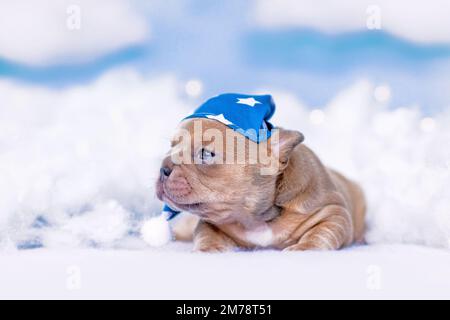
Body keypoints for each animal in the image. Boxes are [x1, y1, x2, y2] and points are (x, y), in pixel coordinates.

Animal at [156, 118, 366, 252]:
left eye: (205, 154)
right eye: (171, 146)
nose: (163, 168)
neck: (254, 218)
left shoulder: (334, 213)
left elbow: (321, 232)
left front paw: (304, 248)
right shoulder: (209, 221)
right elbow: (206, 233)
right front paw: (208, 249)